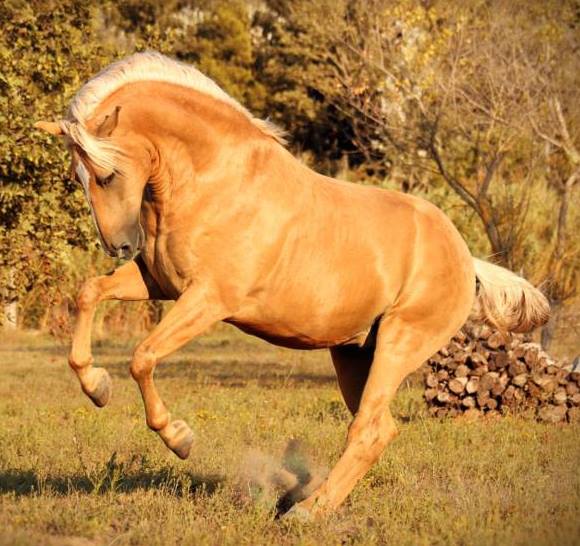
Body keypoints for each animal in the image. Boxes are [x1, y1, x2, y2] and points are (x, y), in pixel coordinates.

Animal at [35, 52, 549, 517]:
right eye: (78, 178)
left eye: (107, 174)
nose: (119, 245)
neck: (216, 182)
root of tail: (465, 258)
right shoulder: (158, 282)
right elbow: (89, 293)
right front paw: (96, 386)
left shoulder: (208, 299)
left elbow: (142, 357)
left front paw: (179, 438)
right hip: (355, 353)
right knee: (378, 428)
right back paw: (310, 500)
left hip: (399, 345)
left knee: (367, 430)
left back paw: (308, 512)